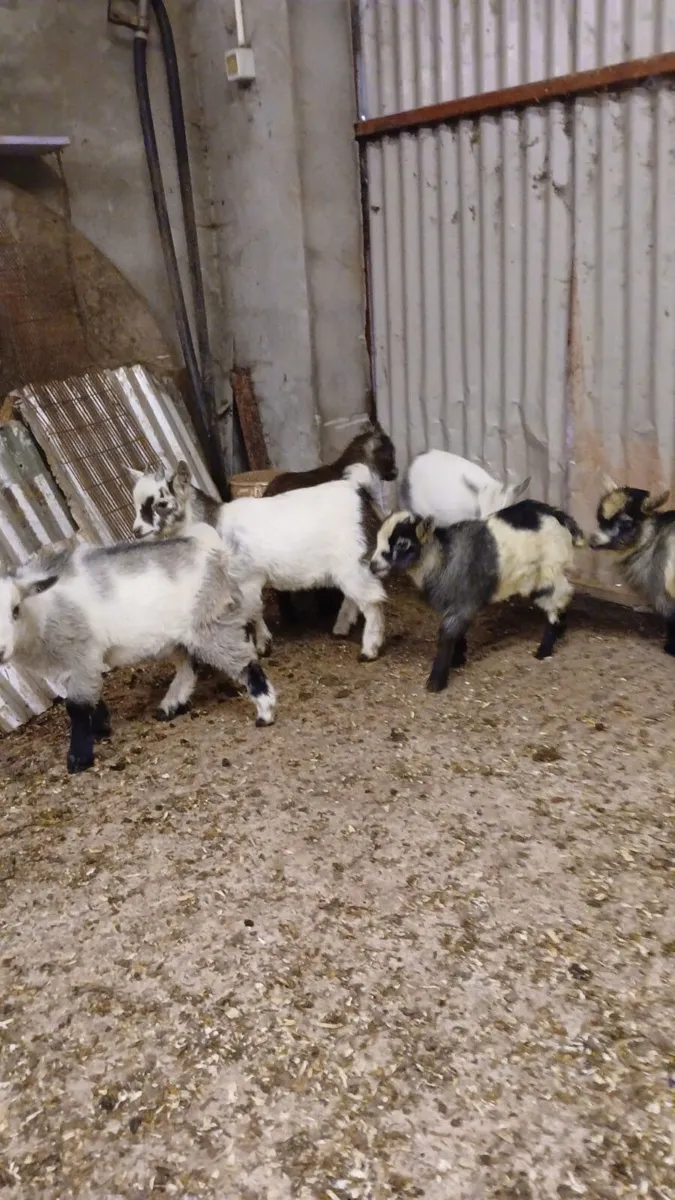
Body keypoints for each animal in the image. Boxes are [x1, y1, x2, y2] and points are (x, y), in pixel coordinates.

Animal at [0, 524, 276, 774]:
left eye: (15, 609)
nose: (1, 651)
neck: (40, 612)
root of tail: (212, 552)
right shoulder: (66, 664)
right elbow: (91, 699)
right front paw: (100, 728)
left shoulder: (81, 654)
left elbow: (76, 708)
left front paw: (79, 758)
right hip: (181, 634)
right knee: (188, 666)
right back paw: (170, 705)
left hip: (207, 621)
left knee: (243, 661)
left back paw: (264, 709)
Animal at [129, 461, 387, 662]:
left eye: (161, 504)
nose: (136, 530)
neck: (214, 525)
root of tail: (359, 491)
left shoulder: (248, 579)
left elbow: (252, 611)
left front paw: (262, 645)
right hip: (349, 565)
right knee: (356, 596)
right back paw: (342, 627)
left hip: (351, 560)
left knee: (372, 601)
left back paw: (369, 649)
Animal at [370, 500, 585, 692]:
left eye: (403, 544)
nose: (373, 566)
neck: (441, 559)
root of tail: (555, 514)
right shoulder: (455, 605)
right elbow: (457, 634)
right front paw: (457, 660)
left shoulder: (461, 604)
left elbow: (446, 636)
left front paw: (436, 681)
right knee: (563, 597)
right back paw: (561, 631)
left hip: (548, 572)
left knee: (558, 601)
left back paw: (544, 649)